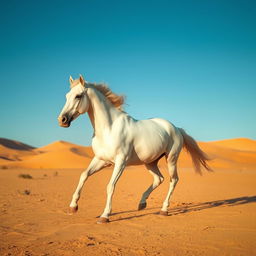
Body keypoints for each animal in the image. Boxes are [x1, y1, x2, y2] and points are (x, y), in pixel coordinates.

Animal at [58, 75, 212, 223]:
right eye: (66, 95)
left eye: (78, 96)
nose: (62, 120)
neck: (109, 128)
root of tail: (176, 128)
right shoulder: (101, 160)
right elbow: (83, 175)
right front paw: (73, 207)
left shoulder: (120, 162)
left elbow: (110, 186)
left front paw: (105, 216)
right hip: (150, 162)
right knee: (159, 179)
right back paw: (142, 203)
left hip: (171, 159)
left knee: (173, 180)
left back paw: (164, 210)